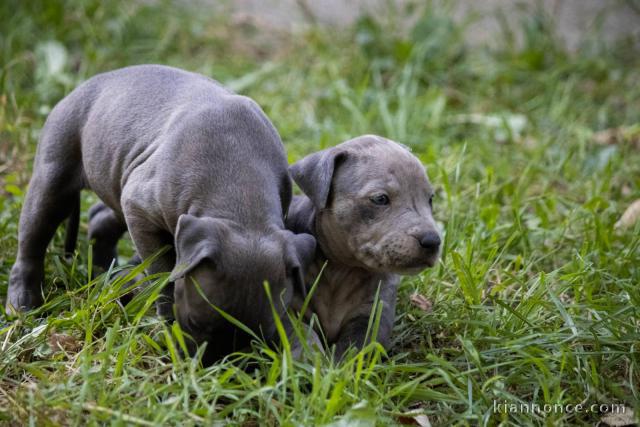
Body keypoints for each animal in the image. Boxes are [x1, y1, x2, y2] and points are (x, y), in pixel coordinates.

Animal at [5, 64, 316, 364]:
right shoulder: (140, 211)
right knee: (32, 240)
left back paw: (106, 273)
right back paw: (23, 303)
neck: (239, 200)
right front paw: (164, 318)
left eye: (263, 332)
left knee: (100, 220)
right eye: (192, 322)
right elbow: (162, 272)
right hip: (54, 175)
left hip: (117, 180)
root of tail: (84, 85)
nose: (209, 367)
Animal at [284, 136, 440, 358]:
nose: (433, 241)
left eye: (430, 199)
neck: (339, 269)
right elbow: (301, 335)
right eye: (380, 199)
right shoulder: (287, 311)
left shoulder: (372, 315)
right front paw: (312, 360)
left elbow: (354, 350)